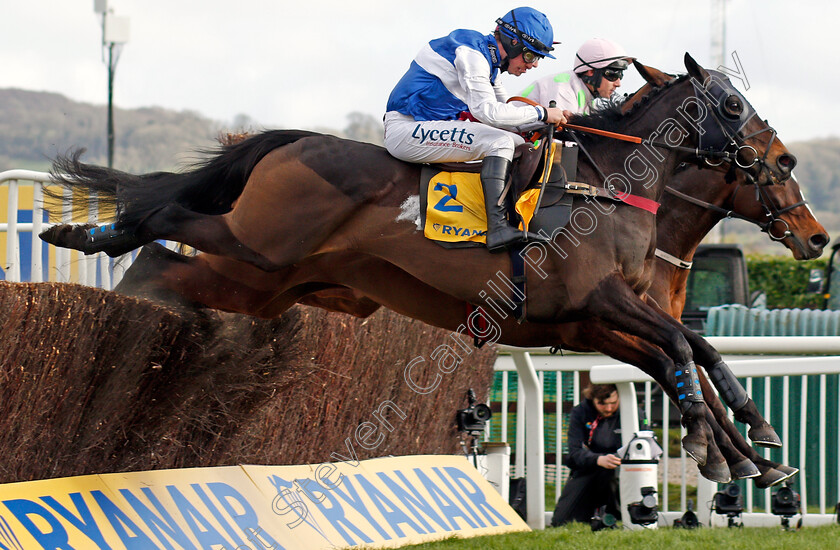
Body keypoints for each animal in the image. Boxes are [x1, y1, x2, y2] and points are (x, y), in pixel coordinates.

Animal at [41, 55, 812, 484]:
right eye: (734, 106)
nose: (815, 235)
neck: (609, 186)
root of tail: (290, 141)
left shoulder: (593, 320)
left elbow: (695, 352)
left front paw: (755, 448)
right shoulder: (602, 304)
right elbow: (687, 346)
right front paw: (728, 451)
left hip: (260, 279)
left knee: (171, 266)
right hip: (256, 243)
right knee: (166, 217)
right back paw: (86, 233)